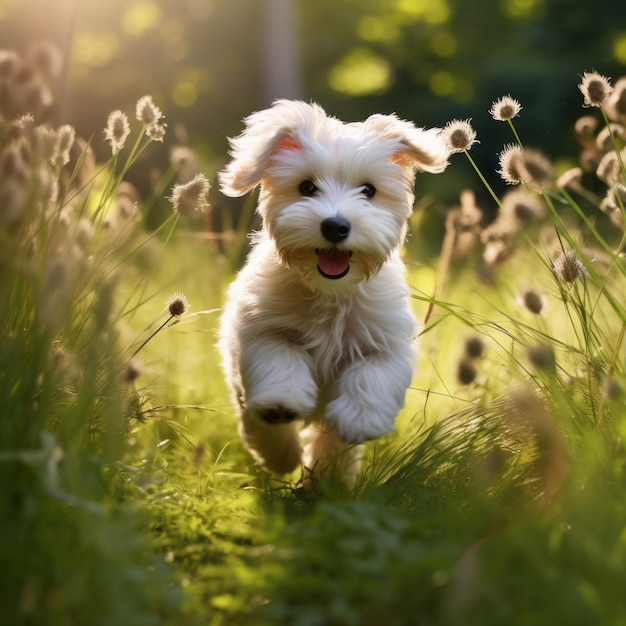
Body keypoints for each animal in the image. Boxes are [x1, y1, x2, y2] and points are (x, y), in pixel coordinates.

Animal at [217, 100, 446, 486]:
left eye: (368, 190)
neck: (330, 293)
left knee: (331, 444)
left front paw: (359, 418)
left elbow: (372, 375)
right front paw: (281, 410)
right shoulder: (261, 328)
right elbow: (279, 361)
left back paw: (328, 480)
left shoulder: (385, 340)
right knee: (253, 421)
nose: (335, 226)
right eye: (307, 187)